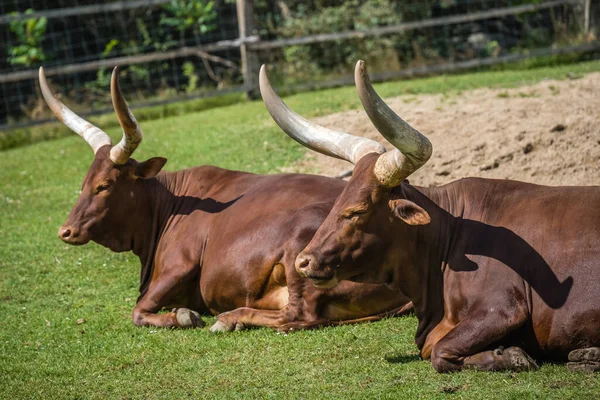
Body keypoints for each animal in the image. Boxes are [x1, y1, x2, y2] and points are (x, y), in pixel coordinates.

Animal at [37, 68, 412, 332]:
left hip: (306, 255)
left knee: (300, 315)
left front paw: (184, 316)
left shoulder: (179, 266)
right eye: (84, 183)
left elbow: (139, 311)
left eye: (103, 186)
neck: (170, 206)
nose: (65, 231)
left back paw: (230, 319)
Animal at [262, 61, 600, 374]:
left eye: (357, 211)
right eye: (337, 203)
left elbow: (438, 351)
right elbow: (432, 347)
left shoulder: (503, 309)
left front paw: (511, 355)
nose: (303, 262)